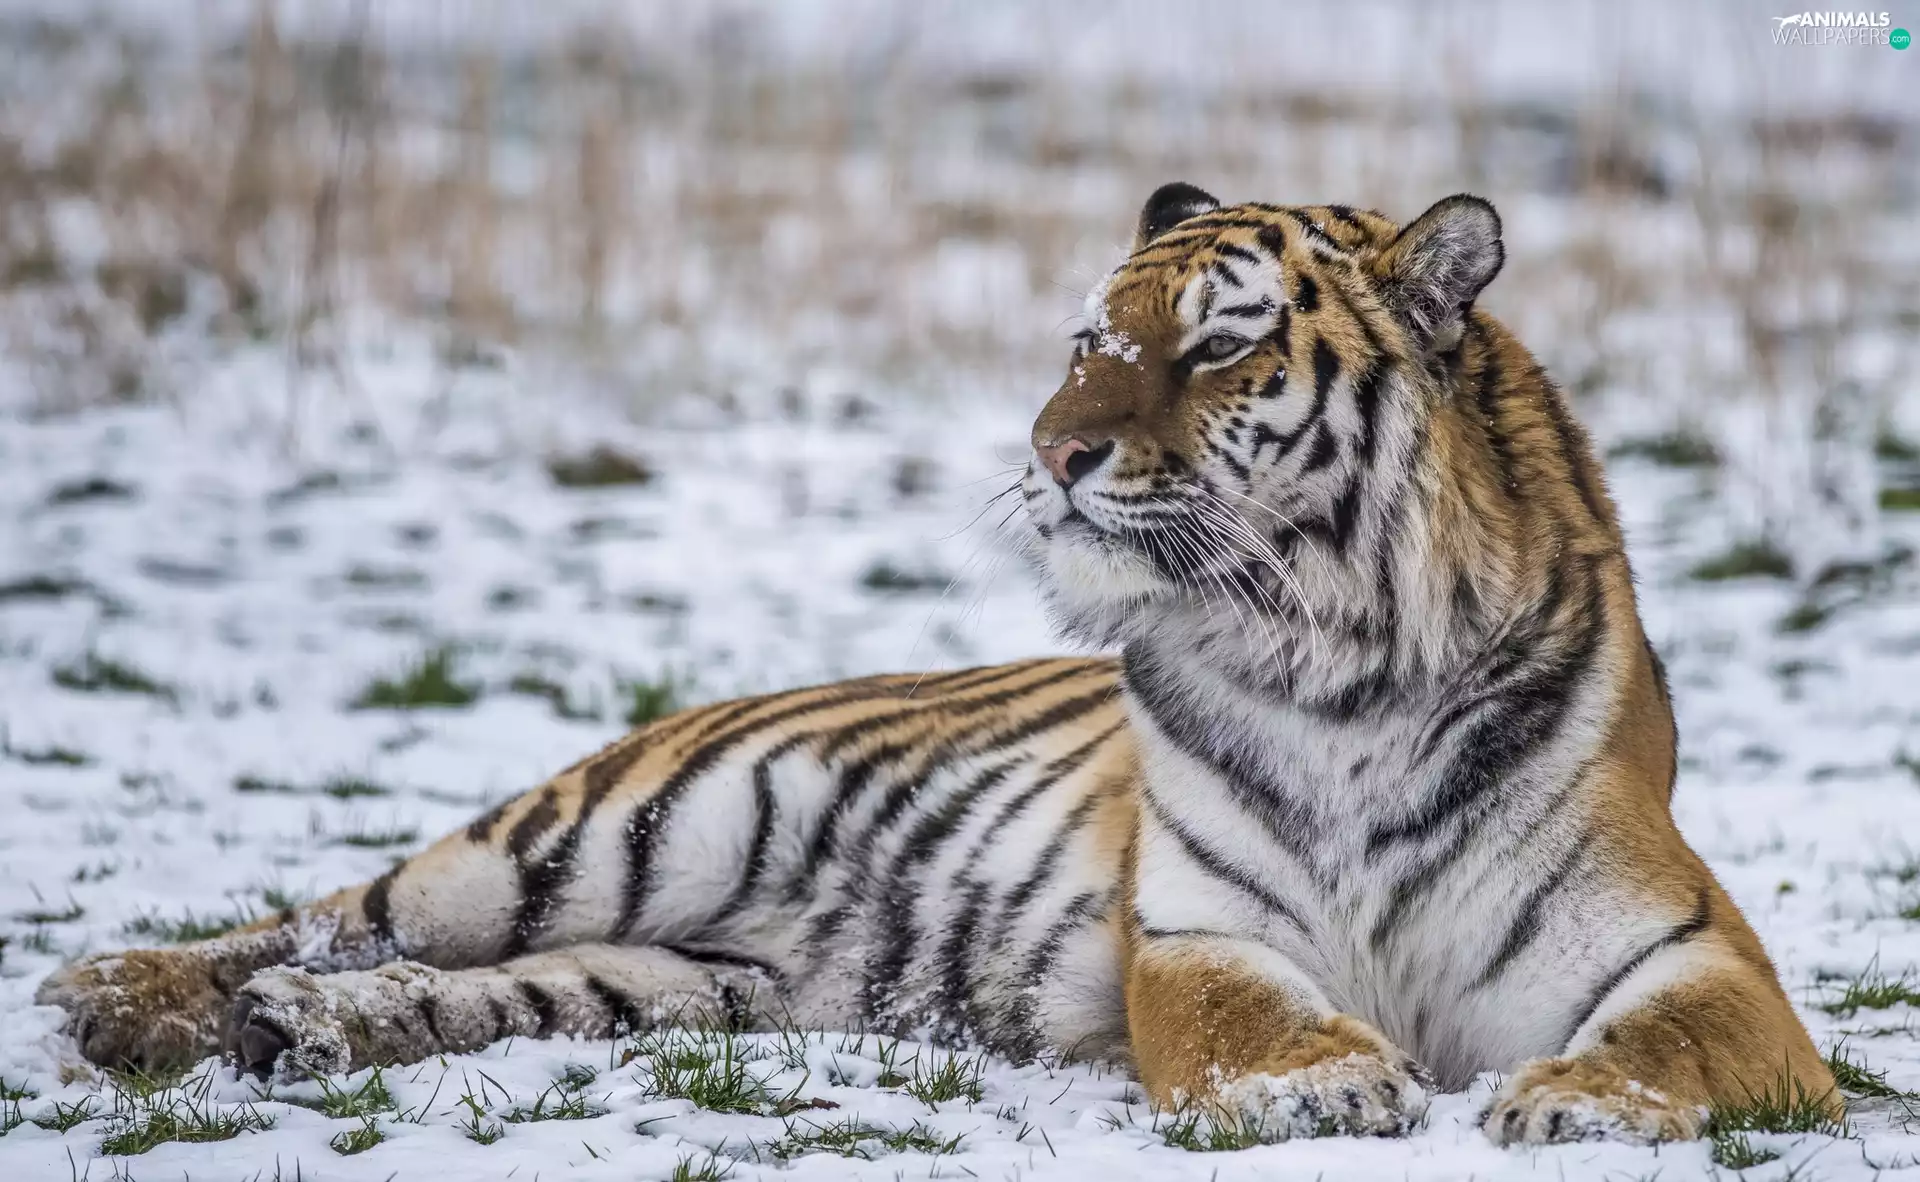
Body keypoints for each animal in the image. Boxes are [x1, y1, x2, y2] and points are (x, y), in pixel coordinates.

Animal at [36, 184, 1836, 1147]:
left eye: (1220, 343)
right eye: (1089, 339)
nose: (1050, 452)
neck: (1345, 671)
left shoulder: (1695, 955)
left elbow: (1667, 1043)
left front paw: (1575, 1101)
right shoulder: (1199, 939)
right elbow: (1256, 1019)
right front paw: (1325, 1085)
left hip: (696, 980)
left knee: (469, 985)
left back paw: (301, 1032)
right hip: (596, 836)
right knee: (335, 910)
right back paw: (119, 996)